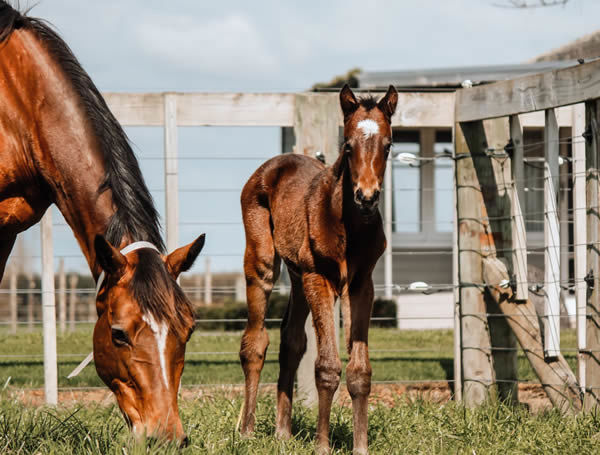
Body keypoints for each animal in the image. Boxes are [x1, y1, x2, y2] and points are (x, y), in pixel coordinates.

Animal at [239, 84, 398, 452]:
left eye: (388, 146)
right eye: (348, 146)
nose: (366, 196)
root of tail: (273, 164)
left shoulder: (361, 284)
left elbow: (359, 370)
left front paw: (360, 446)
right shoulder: (321, 278)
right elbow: (326, 365)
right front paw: (322, 445)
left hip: (299, 278)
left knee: (291, 340)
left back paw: (283, 432)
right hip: (264, 262)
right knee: (255, 341)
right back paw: (247, 431)